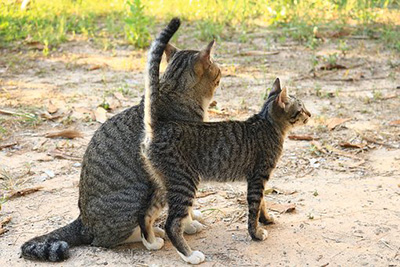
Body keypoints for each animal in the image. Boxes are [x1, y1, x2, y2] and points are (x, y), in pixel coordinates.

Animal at [20, 17, 220, 262]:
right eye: (217, 70)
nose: (222, 71)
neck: (172, 91)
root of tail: (83, 222)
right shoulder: (183, 168)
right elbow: (183, 213)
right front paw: (189, 226)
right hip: (138, 194)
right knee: (110, 238)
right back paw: (154, 236)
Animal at [142, 78, 310, 266]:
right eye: (301, 110)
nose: (310, 114)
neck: (267, 123)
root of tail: (157, 128)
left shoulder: (258, 179)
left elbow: (262, 203)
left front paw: (266, 219)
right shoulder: (258, 178)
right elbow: (254, 208)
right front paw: (256, 233)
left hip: (164, 186)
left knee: (145, 214)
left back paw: (151, 243)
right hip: (185, 183)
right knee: (171, 224)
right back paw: (189, 255)